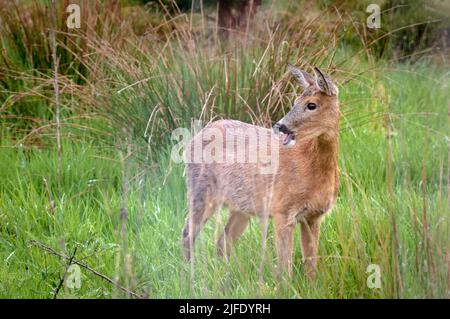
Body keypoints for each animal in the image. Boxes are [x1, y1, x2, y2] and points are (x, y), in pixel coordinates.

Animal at [181, 65, 340, 280]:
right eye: (295, 101)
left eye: (312, 105)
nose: (281, 126)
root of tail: (195, 137)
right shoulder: (282, 210)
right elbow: (285, 267)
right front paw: (285, 285)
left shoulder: (314, 216)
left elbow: (311, 265)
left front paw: (312, 284)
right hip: (201, 190)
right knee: (188, 233)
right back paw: (189, 276)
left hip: (240, 207)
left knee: (222, 241)